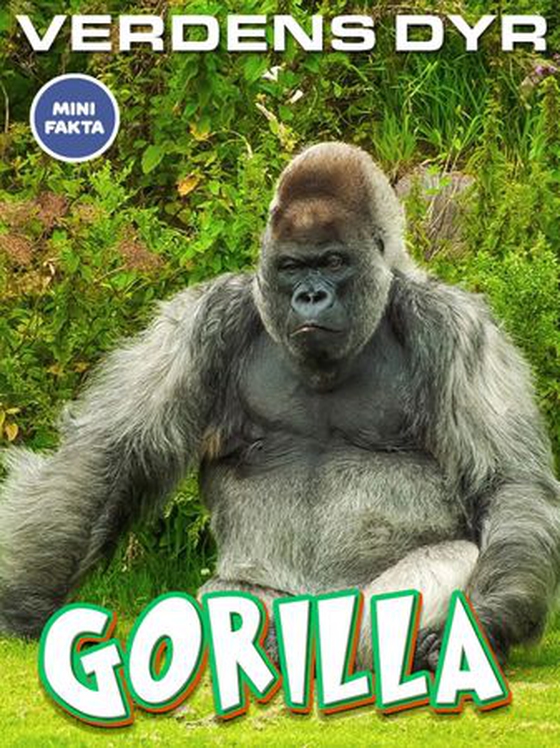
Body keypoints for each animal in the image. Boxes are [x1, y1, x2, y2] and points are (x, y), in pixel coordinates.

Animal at [0, 142, 559, 673]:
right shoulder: (201, 322)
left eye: (332, 261)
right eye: (292, 267)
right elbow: (109, 455)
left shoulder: (458, 328)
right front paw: (21, 601)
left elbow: (509, 485)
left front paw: (482, 628)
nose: (310, 296)